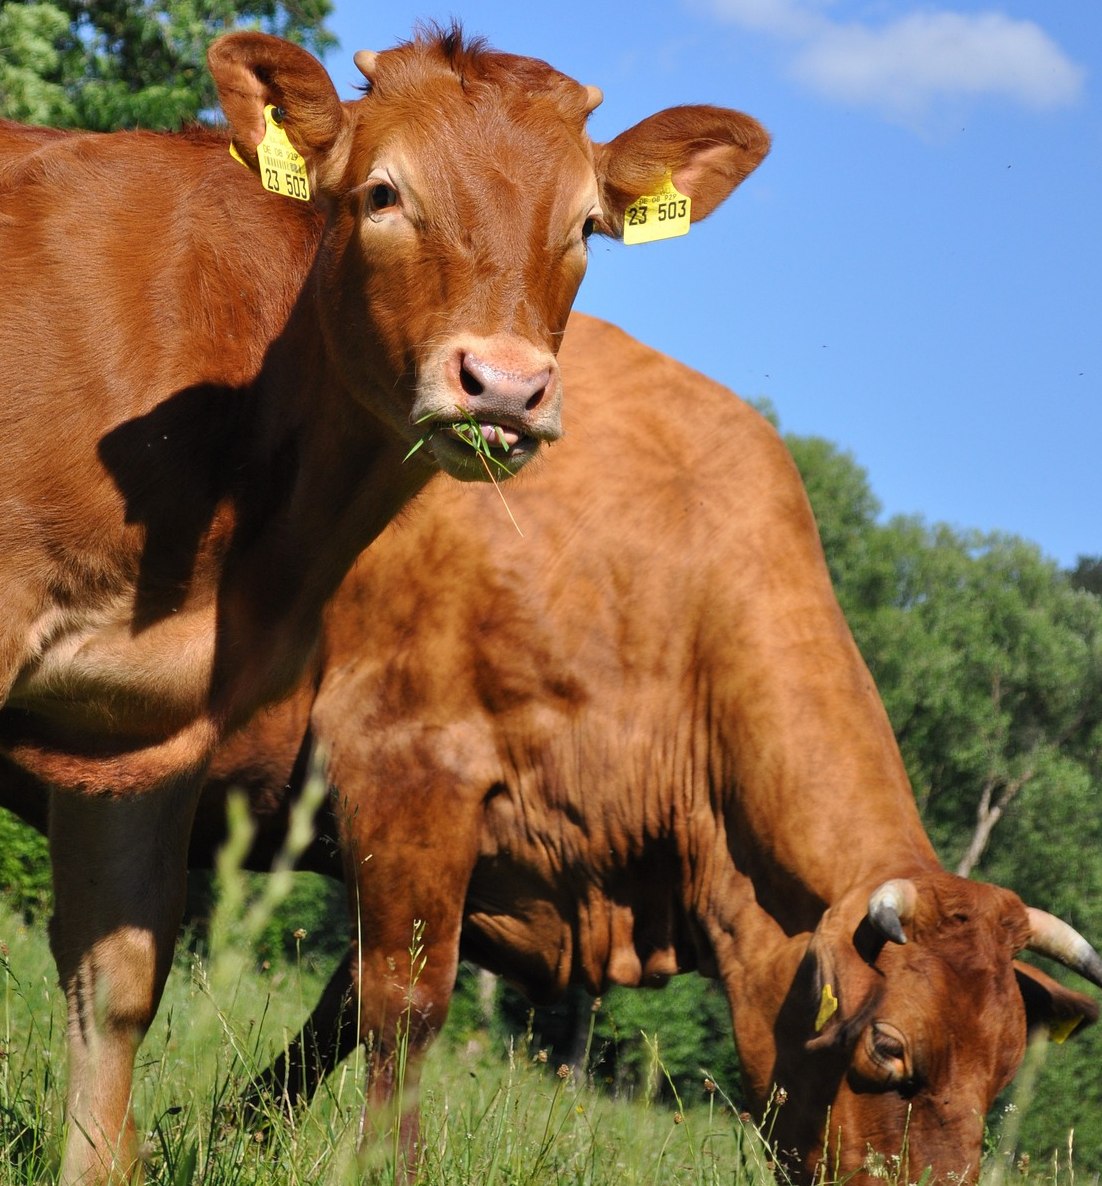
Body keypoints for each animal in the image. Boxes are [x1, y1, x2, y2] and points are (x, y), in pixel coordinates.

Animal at [18, 311, 1085, 1184]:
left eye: (1001, 1080)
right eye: (888, 1051)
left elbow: (341, 1013)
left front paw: (220, 1133)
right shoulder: (410, 771)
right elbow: (404, 1010)